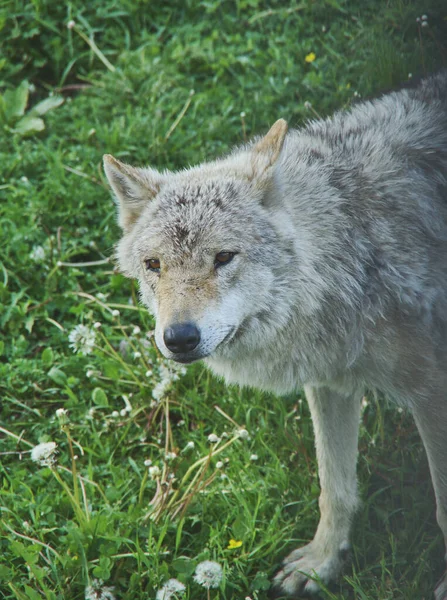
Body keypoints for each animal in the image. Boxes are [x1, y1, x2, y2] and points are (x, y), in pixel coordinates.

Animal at [104, 72, 447, 596]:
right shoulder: (331, 381)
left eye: (224, 257)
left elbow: (442, 509)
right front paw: (322, 564)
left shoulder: (432, 392)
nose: (178, 337)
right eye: (154, 265)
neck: (355, 246)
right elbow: (334, 488)